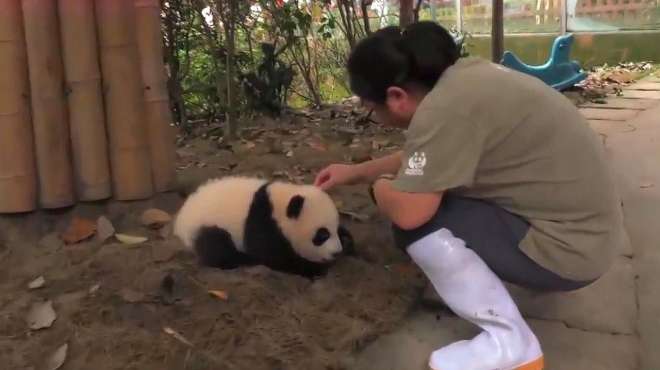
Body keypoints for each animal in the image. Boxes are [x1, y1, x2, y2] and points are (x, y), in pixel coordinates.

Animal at [173, 176, 354, 278]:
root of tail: (181, 220)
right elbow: (276, 258)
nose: (336, 252)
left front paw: (346, 239)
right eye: (322, 235)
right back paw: (244, 259)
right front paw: (314, 269)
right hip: (210, 226)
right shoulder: (262, 224)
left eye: (334, 230)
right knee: (218, 249)